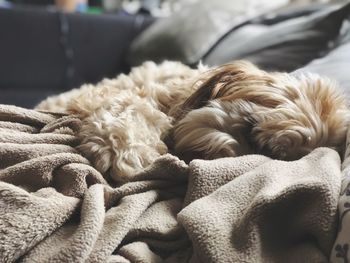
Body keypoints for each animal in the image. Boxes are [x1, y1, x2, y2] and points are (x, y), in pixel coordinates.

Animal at [36, 60, 350, 183]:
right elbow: (130, 107)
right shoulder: (109, 94)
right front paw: (127, 151)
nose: (215, 157)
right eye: (250, 128)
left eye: (271, 157)